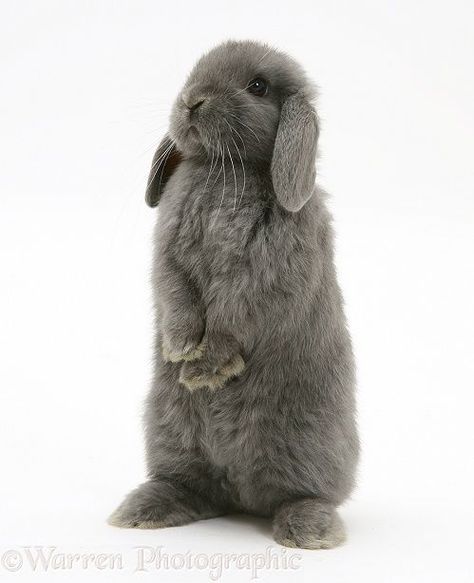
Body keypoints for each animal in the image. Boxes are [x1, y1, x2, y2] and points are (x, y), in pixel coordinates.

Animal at [108, 38, 360, 548]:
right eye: (192, 74)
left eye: (257, 86)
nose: (192, 101)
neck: (225, 169)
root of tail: (241, 492)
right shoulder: (168, 257)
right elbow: (175, 293)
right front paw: (180, 348)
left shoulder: (263, 274)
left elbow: (234, 316)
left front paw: (203, 370)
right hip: (168, 432)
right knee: (192, 488)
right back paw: (143, 510)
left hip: (311, 441)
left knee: (305, 494)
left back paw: (309, 530)